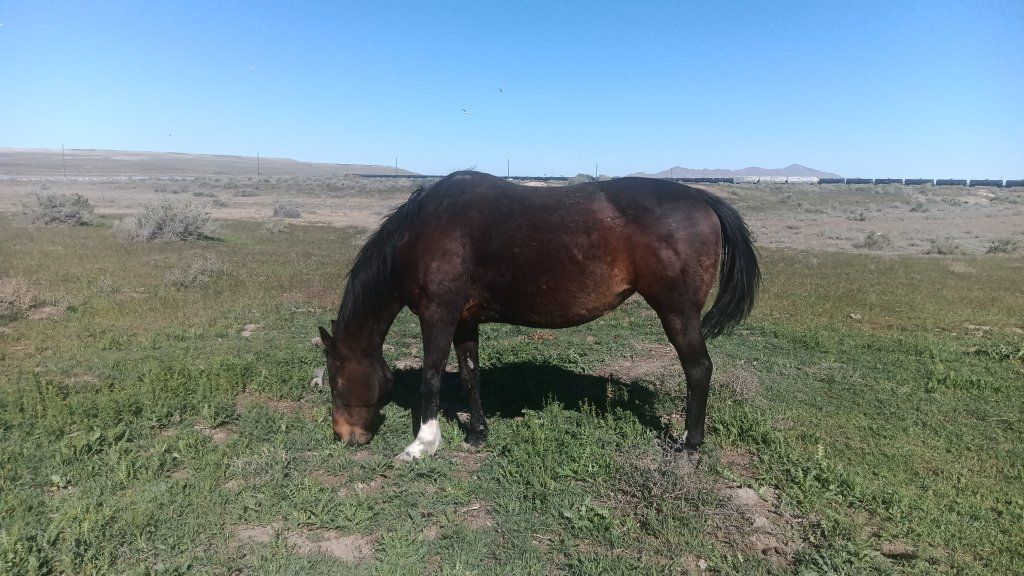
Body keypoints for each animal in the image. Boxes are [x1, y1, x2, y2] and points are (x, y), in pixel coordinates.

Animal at [318, 171, 759, 460]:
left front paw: (422, 444)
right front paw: (477, 434)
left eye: (335, 382)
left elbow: (430, 378)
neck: (423, 230)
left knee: (699, 370)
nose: (343, 435)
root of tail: (703, 199)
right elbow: (470, 375)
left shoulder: (438, 315)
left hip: (678, 313)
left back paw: (690, 444)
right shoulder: (464, 320)